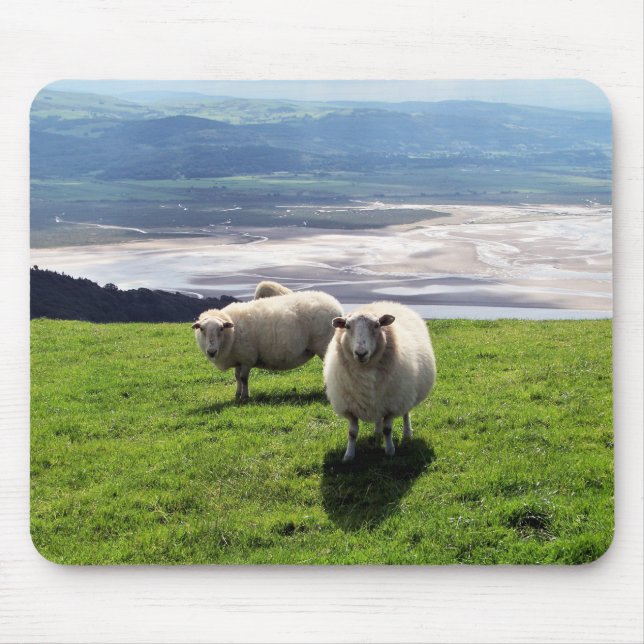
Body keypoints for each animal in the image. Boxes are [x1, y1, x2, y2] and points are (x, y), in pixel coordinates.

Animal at [193, 290, 343, 400]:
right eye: (202, 329)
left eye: (221, 329)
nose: (211, 352)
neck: (232, 333)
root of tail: (335, 305)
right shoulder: (238, 358)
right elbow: (237, 378)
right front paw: (237, 394)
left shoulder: (247, 358)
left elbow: (244, 378)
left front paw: (245, 396)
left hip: (324, 345)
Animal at [323, 301, 436, 461]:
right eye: (347, 326)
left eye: (377, 325)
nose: (361, 353)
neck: (365, 370)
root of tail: (386, 302)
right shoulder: (350, 407)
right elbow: (352, 433)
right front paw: (349, 455)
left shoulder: (392, 404)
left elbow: (387, 429)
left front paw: (390, 451)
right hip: (378, 400)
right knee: (378, 417)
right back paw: (376, 432)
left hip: (405, 393)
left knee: (406, 413)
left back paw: (407, 433)